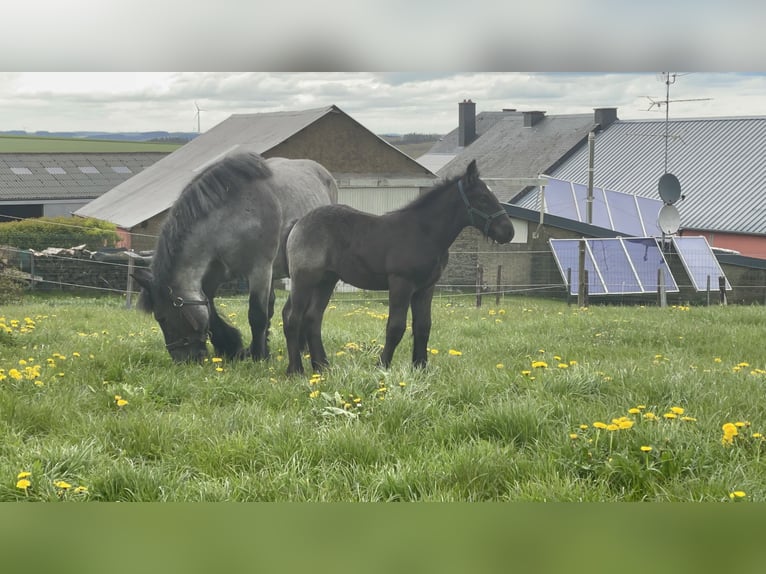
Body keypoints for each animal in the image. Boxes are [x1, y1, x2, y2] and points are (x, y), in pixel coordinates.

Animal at [132, 151, 340, 362]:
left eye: (162, 317)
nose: (183, 359)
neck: (231, 219)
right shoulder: (213, 275)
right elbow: (211, 308)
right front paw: (232, 346)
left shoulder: (260, 270)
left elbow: (257, 314)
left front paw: (257, 355)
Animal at [284, 161, 516, 378]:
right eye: (483, 198)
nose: (509, 231)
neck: (424, 233)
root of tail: (298, 223)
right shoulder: (401, 283)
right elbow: (396, 327)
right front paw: (382, 366)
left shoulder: (425, 288)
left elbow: (423, 326)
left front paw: (420, 369)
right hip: (304, 280)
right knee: (293, 318)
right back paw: (296, 370)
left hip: (326, 281)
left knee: (312, 318)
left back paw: (322, 367)